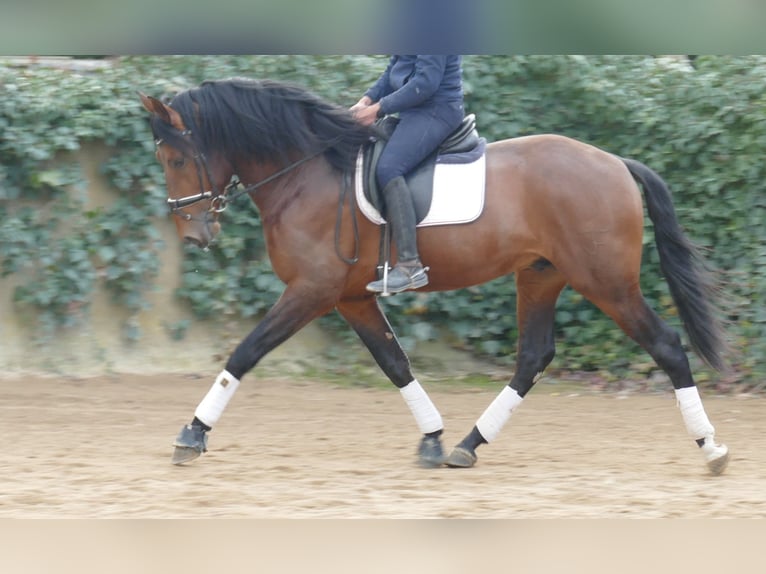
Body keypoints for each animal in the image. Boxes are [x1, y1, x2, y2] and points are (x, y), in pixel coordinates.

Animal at [139, 77, 730, 475]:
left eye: (175, 159)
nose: (195, 237)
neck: (306, 174)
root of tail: (616, 163)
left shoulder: (311, 291)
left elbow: (244, 352)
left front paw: (192, 434)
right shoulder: (351, 298)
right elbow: (395, 363)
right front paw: (432, 438)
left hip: (606, 282)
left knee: (666, 345)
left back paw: (712, 447)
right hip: (541, 277)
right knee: (533, 357)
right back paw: (468, 445)